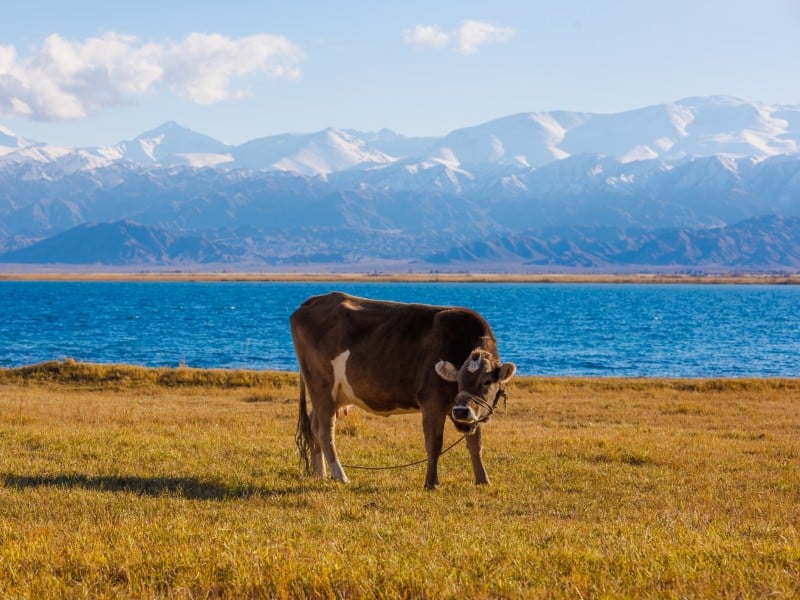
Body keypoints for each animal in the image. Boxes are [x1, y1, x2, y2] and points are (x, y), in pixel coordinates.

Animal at [290, 291, 516, 489]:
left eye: (487, 381)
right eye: (458, 381)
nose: (461, 411)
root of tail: (315, 300)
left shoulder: (472, 411)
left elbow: (475, 444)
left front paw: (483, 480)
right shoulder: (431, 401)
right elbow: (434, 443)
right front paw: (431, 483)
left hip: (334, 393)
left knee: (314, 423)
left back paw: (320, 473)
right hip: (322, 385)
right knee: (325, 428)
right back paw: (340, 475)